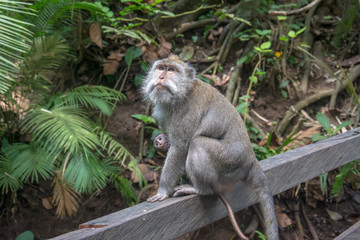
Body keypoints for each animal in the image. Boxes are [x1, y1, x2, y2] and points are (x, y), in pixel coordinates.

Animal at [141, 55, 278, 239]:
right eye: (161, 68)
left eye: (171, 70)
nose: (161, 77)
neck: (181, 94)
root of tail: (251, 159)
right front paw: (161, 142)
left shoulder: (185, 112)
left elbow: (180, 148)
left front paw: (162, 192)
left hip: (230, 163)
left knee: (198, 143)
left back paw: (200, 189)